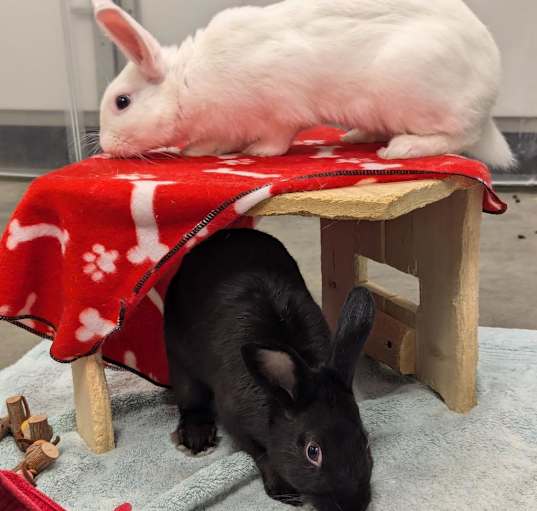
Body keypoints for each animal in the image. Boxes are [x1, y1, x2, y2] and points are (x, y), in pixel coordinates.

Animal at [93, 0, 516, 167]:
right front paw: (200, 151)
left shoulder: (280, 107)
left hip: (419, 97)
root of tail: (491, 89)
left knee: (458, 137)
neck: (186, 82)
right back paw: (356, 137)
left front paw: (259, 152)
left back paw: (402, 148)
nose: (107, 147)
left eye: (122, 102)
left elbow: (278, 136)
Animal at [163, 230, 372, 510]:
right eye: (312, 451)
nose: (353, 506)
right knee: (190, 399)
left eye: (364, 440)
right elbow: (262, 454)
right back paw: (196, 439)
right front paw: (284, 493)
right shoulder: (235, 419)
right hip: (179, 360)